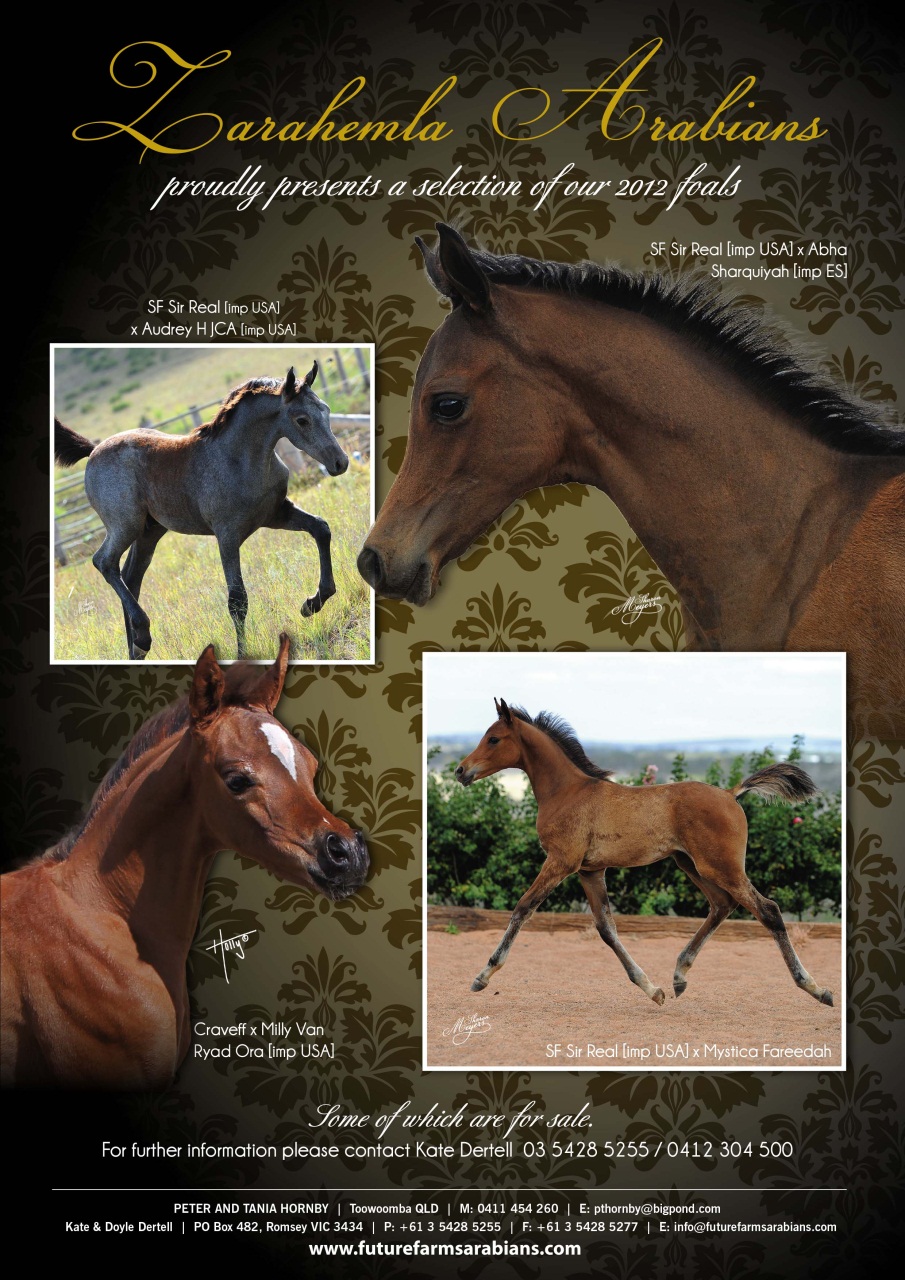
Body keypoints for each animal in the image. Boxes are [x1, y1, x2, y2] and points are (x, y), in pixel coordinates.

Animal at [55, 363, 348, 660]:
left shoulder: (276, 514)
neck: (240, 460)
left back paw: (135, 648)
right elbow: (237, 599)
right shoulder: (227, 535)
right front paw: (242, 655)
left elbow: (321, 528)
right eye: (302, 419)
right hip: (125, 525)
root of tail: (94, 450)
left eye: (325, 409)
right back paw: (143, 635)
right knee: (104, 562)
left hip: (149, 532)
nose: (340, 462)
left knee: (130, 577)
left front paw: (312, 603)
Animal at [453, 698, 834, 1009]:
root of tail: (731, 794)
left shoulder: (561, 862)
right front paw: (652, 990)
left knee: (767, 910)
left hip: (720, 866)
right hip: (691, 864)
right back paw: (679, 976)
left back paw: (816, 988)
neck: (568, 792)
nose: (460, 771)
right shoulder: (590, 871)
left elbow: (522, 908)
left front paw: (482, 976)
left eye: (493, 739)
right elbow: (606, 929)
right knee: (722, 905)